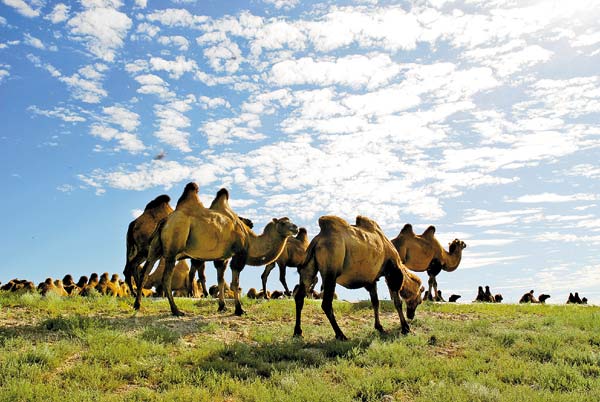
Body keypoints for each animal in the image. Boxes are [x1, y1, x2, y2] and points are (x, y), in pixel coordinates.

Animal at [134, 182, 298, 318]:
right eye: (283, 223)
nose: (295, 228)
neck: (249, 239)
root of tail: (165, 221)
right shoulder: (238, 255)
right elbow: (234, 283)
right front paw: (239, 310)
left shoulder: (222, 258)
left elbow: (221, 280)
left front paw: (222, 306)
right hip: (173, 247)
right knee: (165, 278)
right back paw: (176, 311)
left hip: (156, 249)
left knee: (144, 272)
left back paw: (137, 305)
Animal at [292, 215, 424, 340]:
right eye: (419, 300)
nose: (411, 316)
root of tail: (317, 240)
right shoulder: (392, 272)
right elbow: (397, 302)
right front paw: (405, 328)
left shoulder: (371, 279)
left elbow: (375, 302)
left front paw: (379, 327)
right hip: (331, 269)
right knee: (326, 303)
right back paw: (341, 335)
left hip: (309, 267)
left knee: (300, 296)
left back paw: (298, 332)